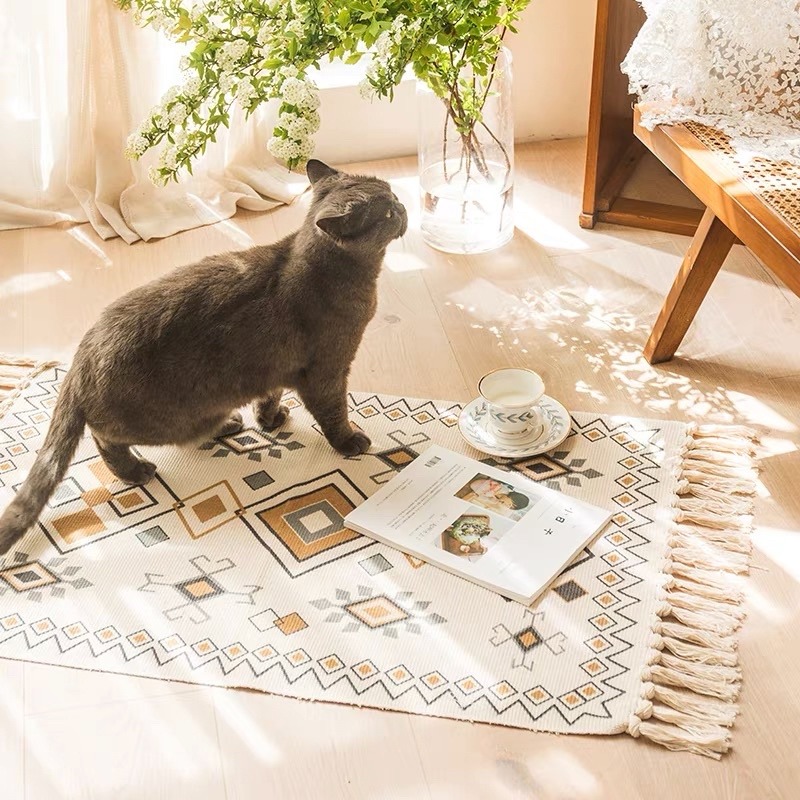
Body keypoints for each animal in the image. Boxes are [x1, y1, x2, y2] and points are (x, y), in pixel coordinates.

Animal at [0, 157, 410, 556]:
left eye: (392, 197)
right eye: (387, 212)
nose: (403, 204)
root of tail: (81, 355)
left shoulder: (274, 367)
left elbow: (270, 394)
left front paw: (271, 420)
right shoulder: (327, 371)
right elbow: (334, 413)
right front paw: (349, 442)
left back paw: (229, 424)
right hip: (170, 419)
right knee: (105, 438)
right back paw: (136, 471)